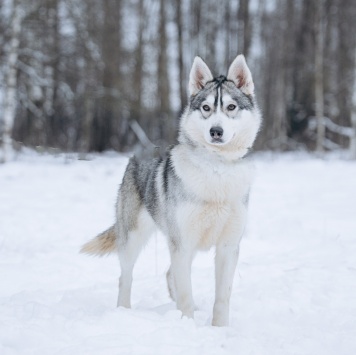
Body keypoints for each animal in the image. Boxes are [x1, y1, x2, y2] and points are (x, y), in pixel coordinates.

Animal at [80, 54, 262, 326]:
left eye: (231, 107)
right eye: (206, 108)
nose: (215, 131)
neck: (216, 170)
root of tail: (142, 148)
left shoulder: (228, 247)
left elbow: (222, 298)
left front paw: (219, 328)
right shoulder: (182, 244)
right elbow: (185, 293)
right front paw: (186, 326)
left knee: (168, 274)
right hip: (134, 237)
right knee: (126, 277)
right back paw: (124, 312)